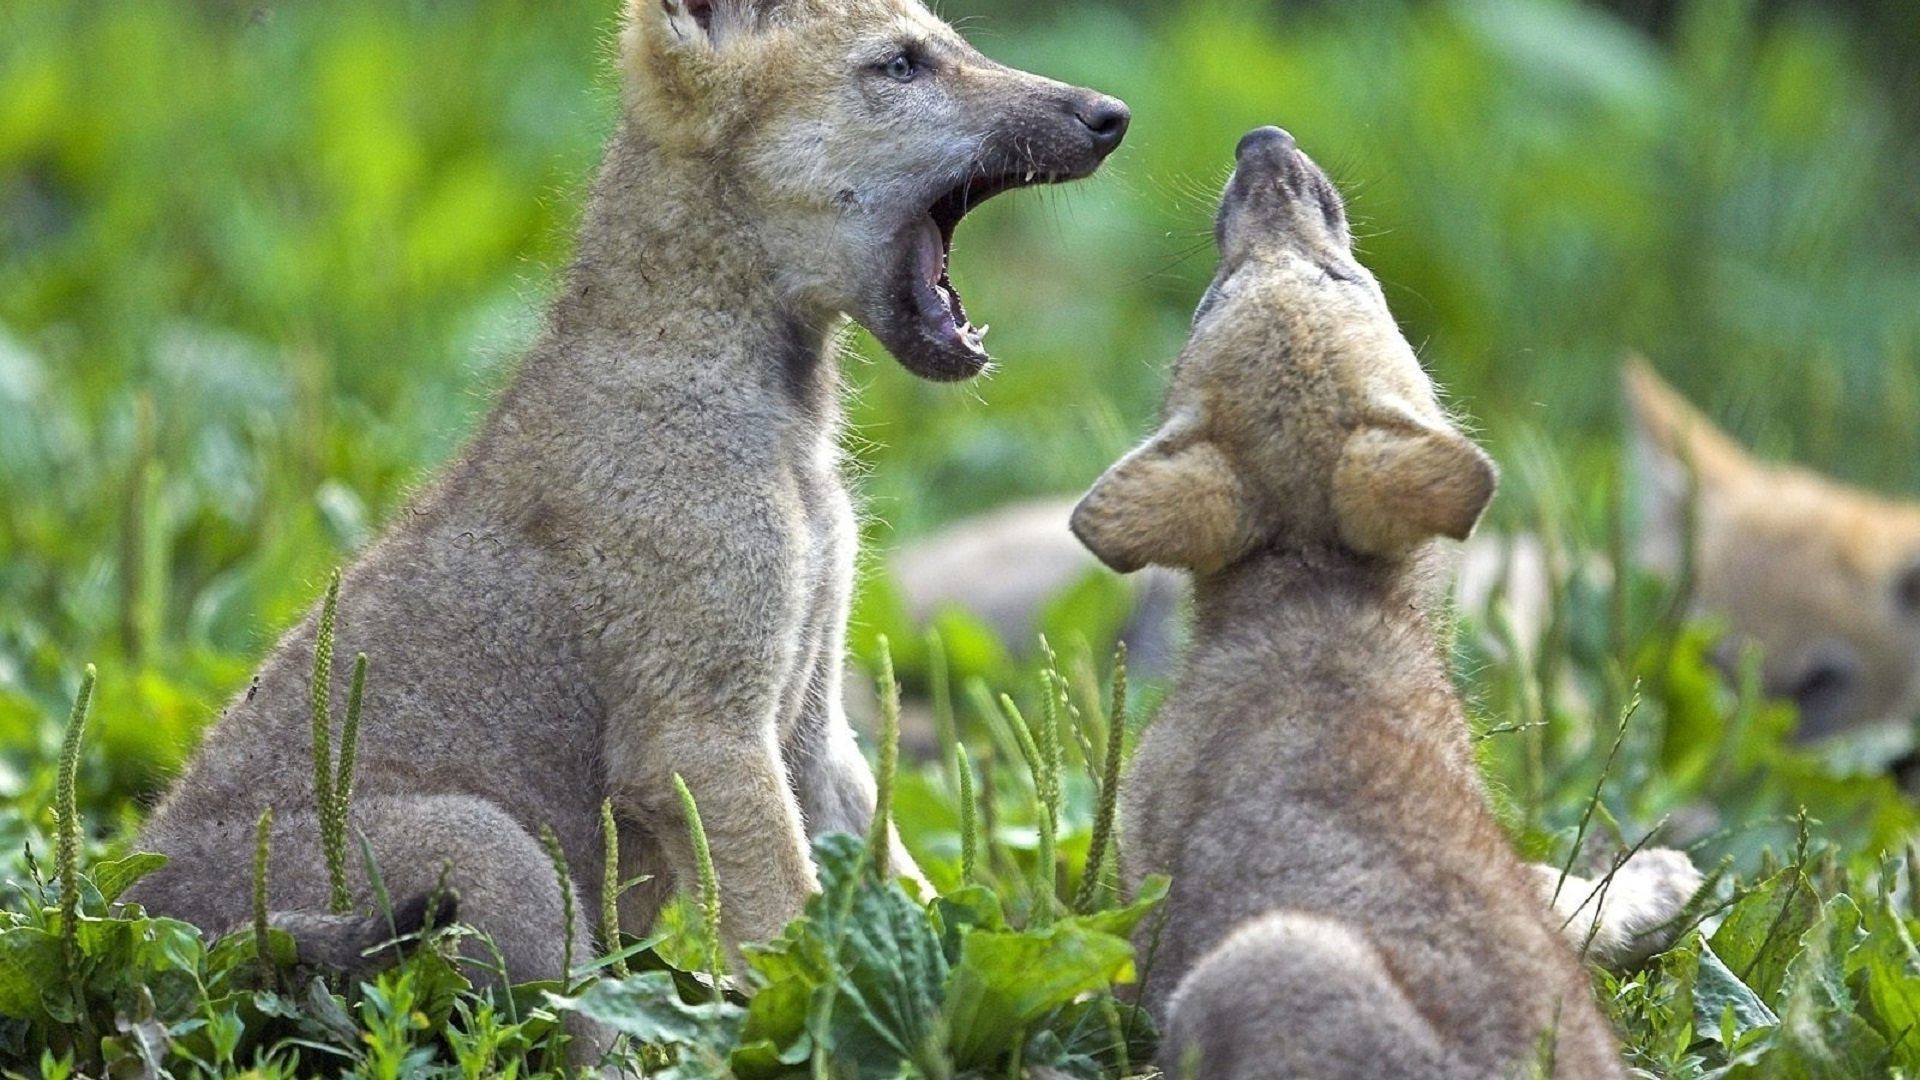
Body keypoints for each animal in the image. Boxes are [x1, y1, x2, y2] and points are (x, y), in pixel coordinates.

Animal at [131, 0, 1121, 1022]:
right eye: (899, 64)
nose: (1110, 115)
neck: (786, 433)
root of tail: (147, 926)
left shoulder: (810, 722)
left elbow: (898, 887)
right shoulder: (698, 733)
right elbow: (792, 925)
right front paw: (829, 1020)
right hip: (497, 854)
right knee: (570, 1014)